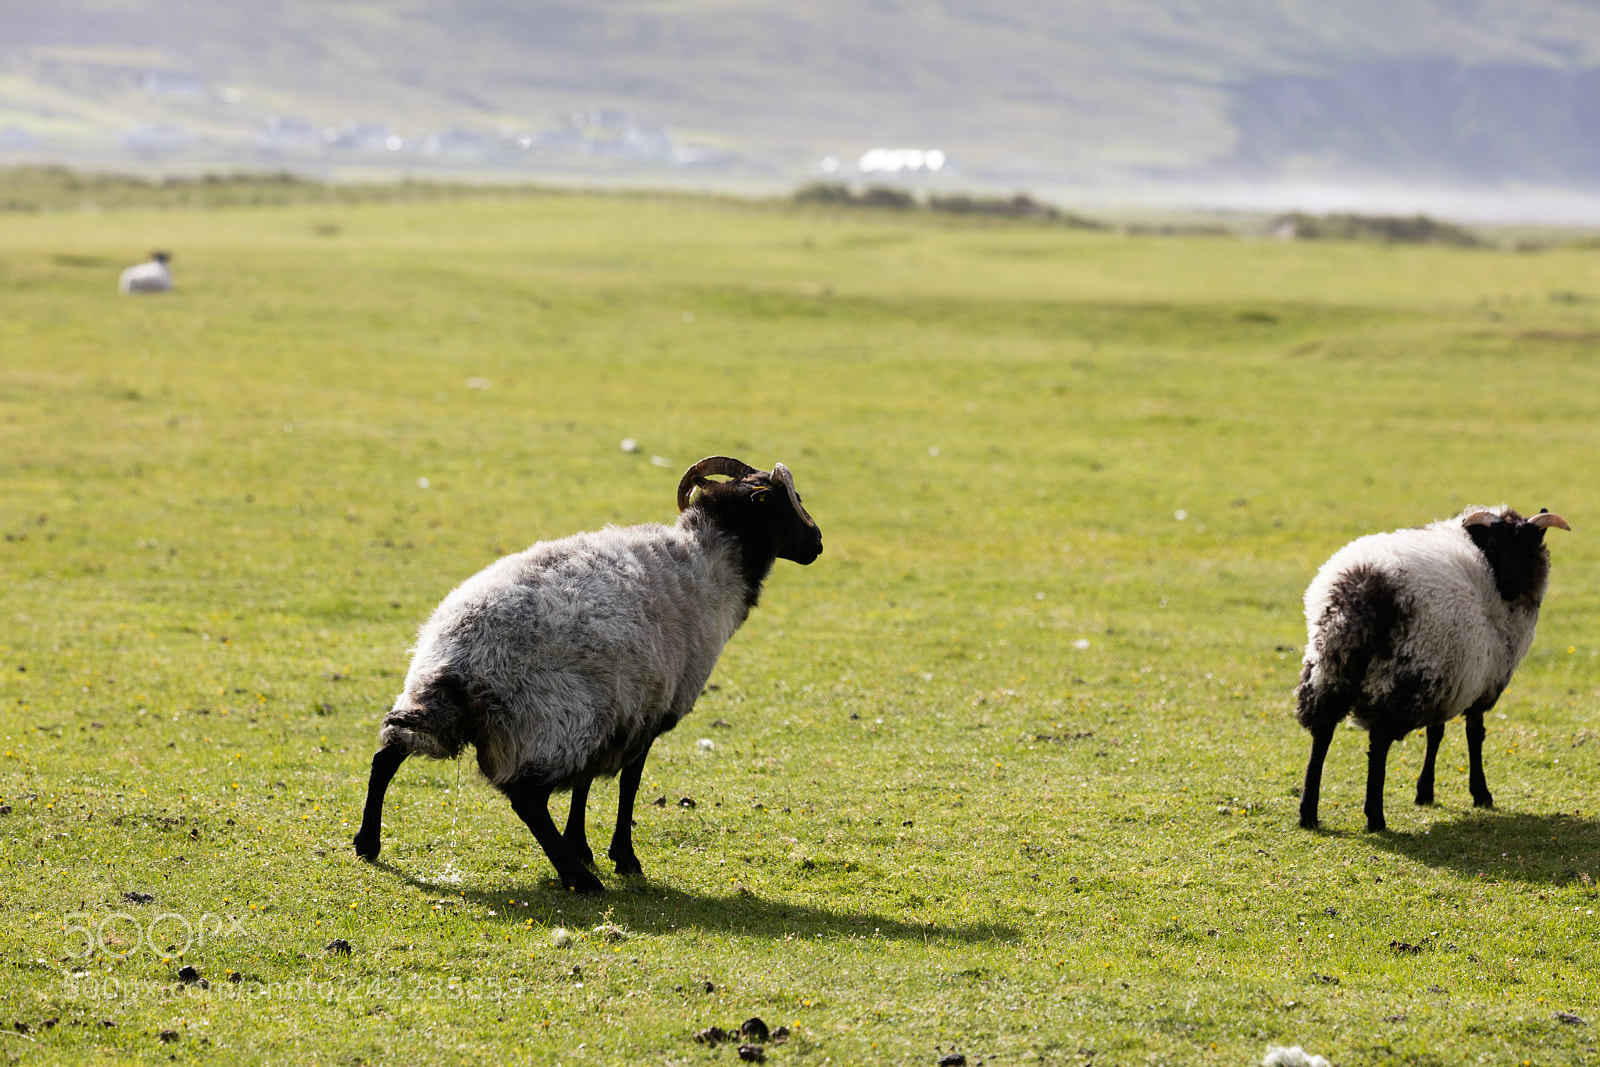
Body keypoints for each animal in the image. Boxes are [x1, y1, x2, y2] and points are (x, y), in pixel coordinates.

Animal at [351, 456, 822, 893]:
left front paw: (582, 845)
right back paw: (578, 879)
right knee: (527, 799)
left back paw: (367, 843)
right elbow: (629, 783)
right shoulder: (649, 707)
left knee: (386, 756)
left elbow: (583, 785)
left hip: (441, 703)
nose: (817, 542)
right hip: (551, 717)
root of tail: (460, 658)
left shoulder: (616, 706)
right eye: (782, 499)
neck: (711, 563)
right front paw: (622, 858)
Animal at [1295, 505, 1569, 832]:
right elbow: (1474, 734)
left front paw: (1424, 791)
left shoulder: (1449, 675)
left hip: (1328, 668)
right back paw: (1375, 817)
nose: (1510, 588)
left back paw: (1308, 812)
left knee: (1322, 733)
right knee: (1379, 742)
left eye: (1529, 546)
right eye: (1494, 546)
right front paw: (1481, 793)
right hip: (1400, 672)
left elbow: (1435, 733)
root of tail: (1358, 595)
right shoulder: (1477, 681)